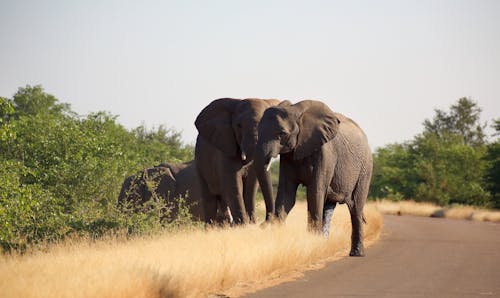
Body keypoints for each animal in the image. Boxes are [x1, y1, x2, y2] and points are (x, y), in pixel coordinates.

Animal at [254, 100, 372, 256]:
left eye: (282, 134)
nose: (261, 225)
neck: (296, 112)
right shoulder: (288, 156)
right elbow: (287, 194)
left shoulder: (325, 152)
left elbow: (315, 192)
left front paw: (312, 244)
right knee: (328, 208)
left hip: (365, 168)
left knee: (356, 208)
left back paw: (356, 253)